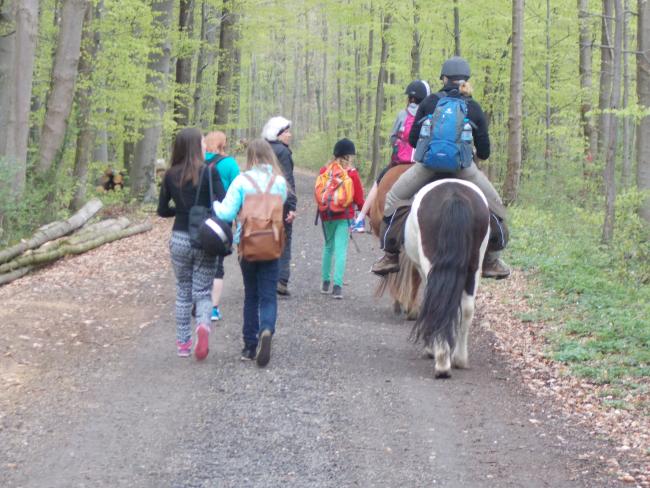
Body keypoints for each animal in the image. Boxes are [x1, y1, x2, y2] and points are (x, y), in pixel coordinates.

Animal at [402, 179, 488, 378]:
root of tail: (453, 195)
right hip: (474, 266)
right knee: (466, 308)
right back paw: (459, 359)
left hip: (430, 264)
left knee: (435, 304)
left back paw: (441, 361)